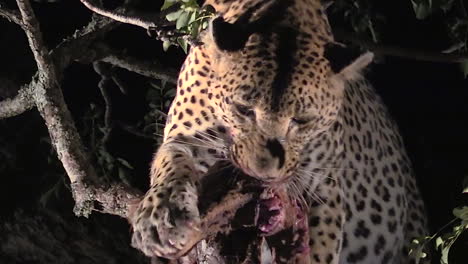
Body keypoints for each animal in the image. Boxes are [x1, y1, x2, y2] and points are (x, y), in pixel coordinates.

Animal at [128, 0, 428, 262]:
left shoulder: (324, 186)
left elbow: (321, 248)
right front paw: (160, 218)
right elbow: (172, 164)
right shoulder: (189, 138)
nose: (263, 173)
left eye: (303, 120)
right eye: (243, 109)